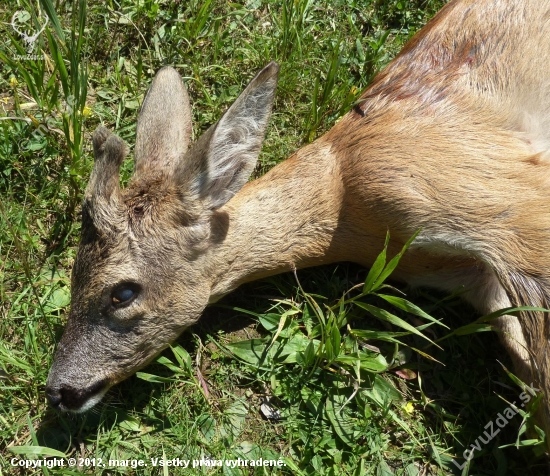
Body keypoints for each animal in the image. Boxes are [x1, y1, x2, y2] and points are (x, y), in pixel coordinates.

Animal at [45, 0, 550, 446]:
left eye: (123, 292)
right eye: (73, 276)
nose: (58, 390)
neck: (347, 200)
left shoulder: (511, 209)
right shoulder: (472, 277)